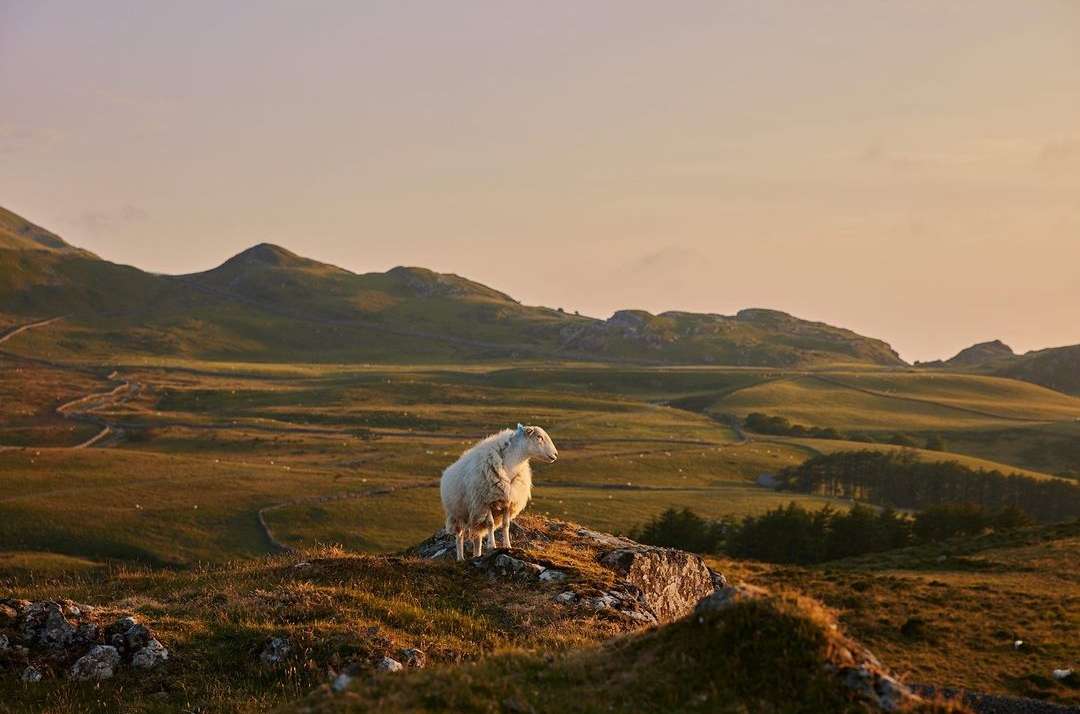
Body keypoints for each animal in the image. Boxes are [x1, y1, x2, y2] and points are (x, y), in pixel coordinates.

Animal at [440, 423, 558, 560]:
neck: (512, 464)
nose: (555, 454)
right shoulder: (485, 502)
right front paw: (492, 545)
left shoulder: (508, 501)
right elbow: (490, 524)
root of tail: (447, 471)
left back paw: (477, 555)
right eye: (539, 437)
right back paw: (460, 558)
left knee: (477, 537)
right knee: (459, 536)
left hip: (475, 516)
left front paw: (507, 545)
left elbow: (506, 525)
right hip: (458, 514)